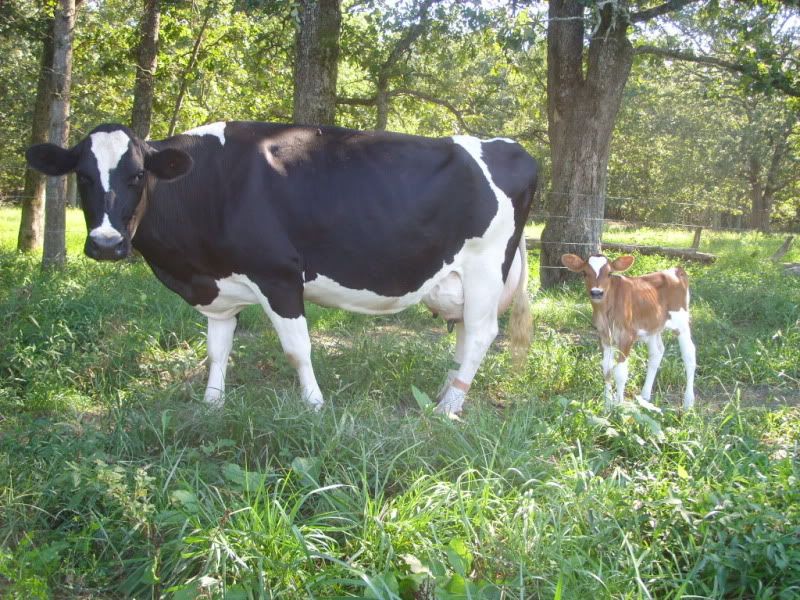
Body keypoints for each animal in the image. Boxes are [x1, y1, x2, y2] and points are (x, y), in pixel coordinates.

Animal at [26, 122, 538, 415]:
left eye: (137, 175)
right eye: (83, 177)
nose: (106, 244)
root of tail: (509, 145)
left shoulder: (279, 276)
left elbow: (298, 350)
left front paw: (314, 406)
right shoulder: (221, 289)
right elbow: (217, 350)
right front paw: (212, 404)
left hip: (486, 268)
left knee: (480, 334)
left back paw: (448, 407)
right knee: (463, 336)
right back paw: (443, 391)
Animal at [560, 253, 696, 409]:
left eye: (609, 273)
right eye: (584, 273)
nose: (596, 292)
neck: (607, 311)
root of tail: (676, 269)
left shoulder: (627, 336)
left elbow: (620, 372)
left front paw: (619, 404)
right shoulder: (604, 336)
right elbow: (606, 368)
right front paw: (607, 404)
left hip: (681, 322)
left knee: (689, 354)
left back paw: (688, 402)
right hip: (653, 326)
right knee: (656, 353)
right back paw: (645, 396)